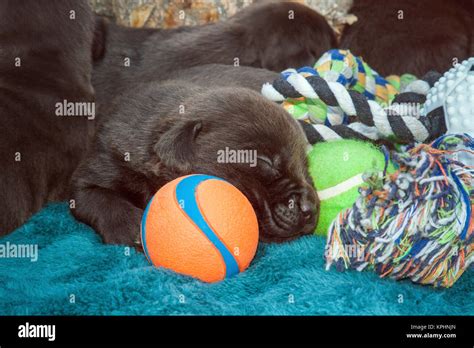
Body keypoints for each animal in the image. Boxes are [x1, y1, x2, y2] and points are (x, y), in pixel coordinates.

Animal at [70, 76, 320, 245]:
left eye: (306, 168)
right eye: (265, 161)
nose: (312, 209)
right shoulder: (99, 165)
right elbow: (97, 197)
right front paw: (130, 228)